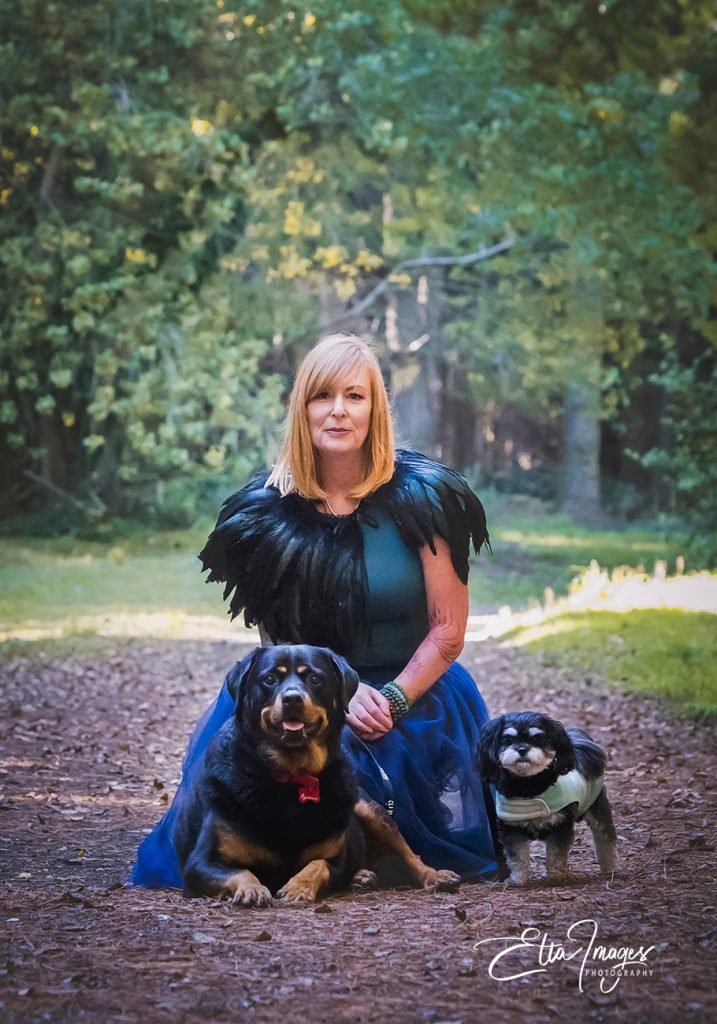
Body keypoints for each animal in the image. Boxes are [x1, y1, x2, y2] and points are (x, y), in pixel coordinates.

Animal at [176, 647, 462, 905]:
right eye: (269, 679)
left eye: (315, 678)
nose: (292, 698)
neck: (292, 776)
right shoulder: (199, 864)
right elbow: (240, 871)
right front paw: (252, 889)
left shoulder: (336, 858)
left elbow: (317, 864)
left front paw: (297, 888)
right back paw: (362, 877)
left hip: (368, 809)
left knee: (409, 853)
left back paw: (434, 876)